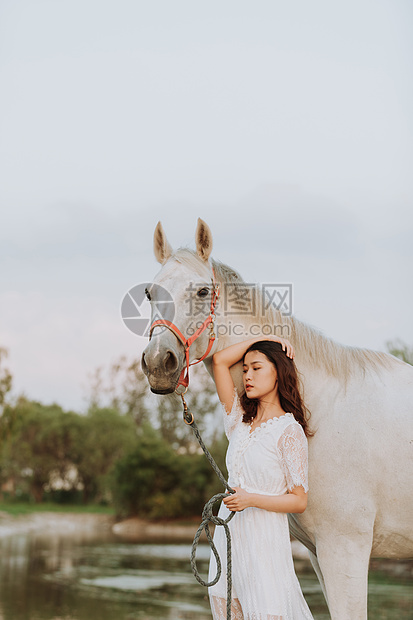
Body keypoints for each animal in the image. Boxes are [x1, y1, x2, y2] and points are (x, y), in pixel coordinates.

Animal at [142, 218, 412, 616]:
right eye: (148, 293)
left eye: (203, 291)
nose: (158, 363)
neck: (320, 413)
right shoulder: (318, 553)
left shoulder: (345, 549)